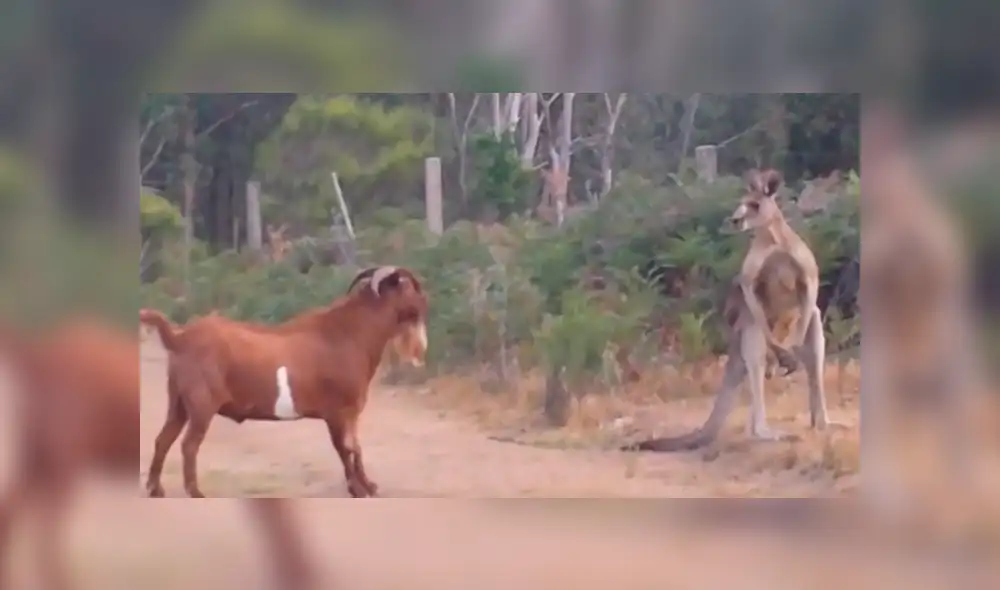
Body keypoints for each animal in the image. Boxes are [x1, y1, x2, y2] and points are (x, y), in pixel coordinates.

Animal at [141, 265, 429, 498]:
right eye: (409, 286)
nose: (426, 300)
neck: (351, 333)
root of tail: (181, 338)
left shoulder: (350, 412)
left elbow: (354, 447)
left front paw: (367, 486)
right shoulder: (339, 411)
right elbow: (346, 448)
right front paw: (358, 489)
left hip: (178, 402)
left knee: (163, 439)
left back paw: (155, 489)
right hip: (202, 404)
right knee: (189, 445)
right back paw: (195, 492)